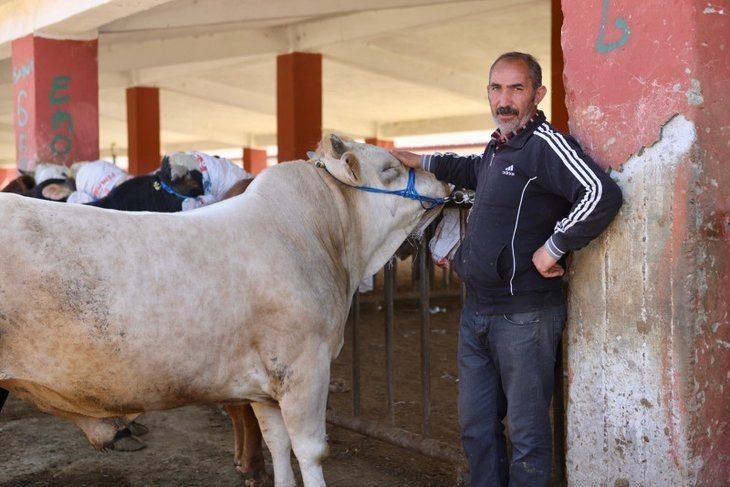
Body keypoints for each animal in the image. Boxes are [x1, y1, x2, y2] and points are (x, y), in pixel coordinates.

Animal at [0, 132, 450, 484]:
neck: (324, 238)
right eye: (389, 169)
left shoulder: (266, 385)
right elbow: (310, 452)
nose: (445, 181)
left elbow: (277, 445)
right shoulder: (305, 369)